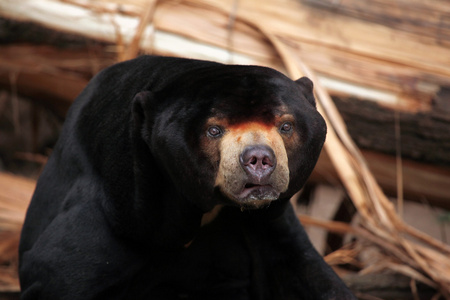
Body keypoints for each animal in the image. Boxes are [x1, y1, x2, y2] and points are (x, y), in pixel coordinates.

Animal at [18, 55, 356, 298]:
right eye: (214, 130)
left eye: (286, 126)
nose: (259, 159)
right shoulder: (118, 214)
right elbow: (58, 274)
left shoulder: (268, 222)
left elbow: (307, 274)